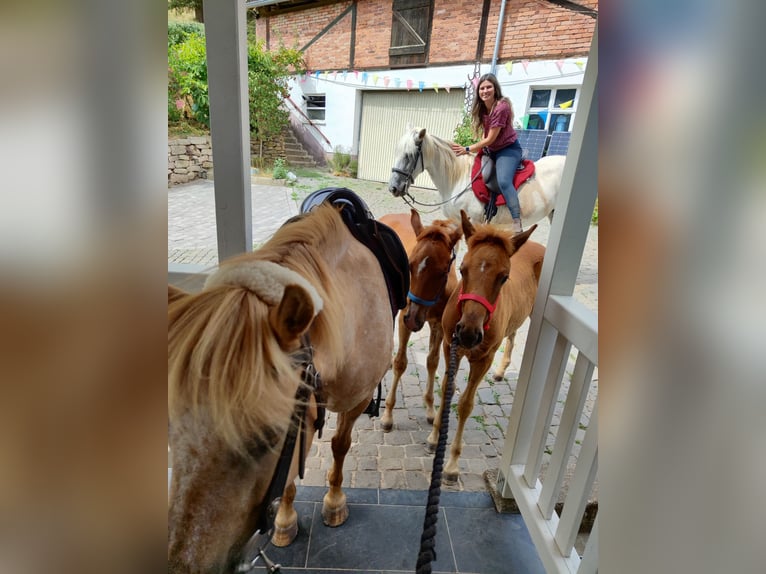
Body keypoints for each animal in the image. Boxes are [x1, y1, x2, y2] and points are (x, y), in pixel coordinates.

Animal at [378, 210, 463, 431]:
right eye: (409, 265)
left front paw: (431, 408)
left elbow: (432, 361)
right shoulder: (403, 318)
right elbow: (401, 362)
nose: (414, 319)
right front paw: (388, 414)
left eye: (442, 271)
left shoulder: (438, 326)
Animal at [427, 210, 545, 483]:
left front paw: (451, 464)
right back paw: (501, 371)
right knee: (513, 333)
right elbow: (446, 390)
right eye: (462, 269)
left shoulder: (483, 359)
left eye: (504, 277)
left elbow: (465, 405)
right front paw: (434, 437)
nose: (469, 333)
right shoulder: (450, 346)